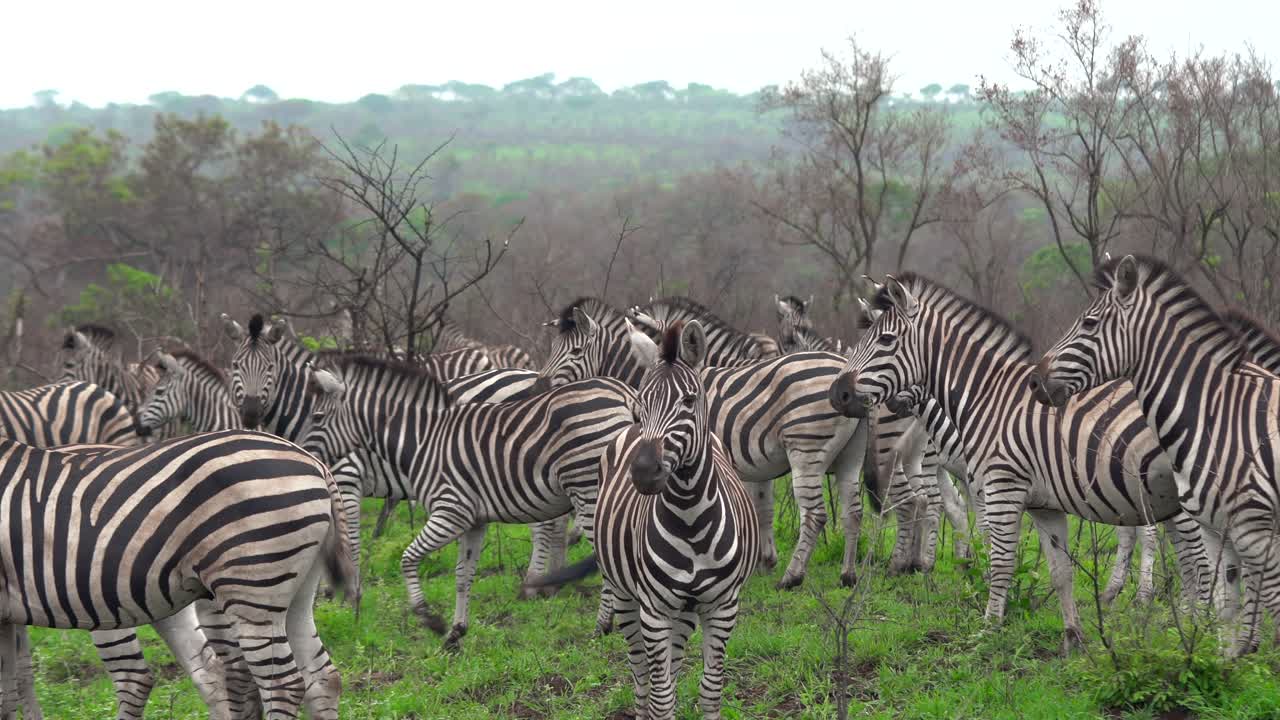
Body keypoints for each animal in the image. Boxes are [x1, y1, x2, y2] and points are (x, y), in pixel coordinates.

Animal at [301, 358, 636, 651]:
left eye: (316, 417)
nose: (306, 457)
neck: (423, 440)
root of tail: (626, 394)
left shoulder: (451, 511)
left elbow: (407, 558)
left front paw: (429, 619)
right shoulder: (474, 521)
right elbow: (463, 575)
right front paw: (455, 632)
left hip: (589, 492)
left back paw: (601, 627)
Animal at [532, 320, 757, 720]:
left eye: (689, 401)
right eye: (642, 405)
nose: (644, 472)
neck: (691, 520)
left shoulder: (723, 606)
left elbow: (709, 691)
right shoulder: (653, 610)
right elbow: (660, 695)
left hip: (684, 611)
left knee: (672, 665)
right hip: (623, 593)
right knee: (640, 673)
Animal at [538, 297, 866, 589]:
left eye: (576, 350)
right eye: (552, 347)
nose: (540, 385)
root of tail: (843, 367)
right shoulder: (754, 467)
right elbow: (762, 509)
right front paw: (764, 560)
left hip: (805, 449)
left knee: (815, 515)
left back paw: (792, 577)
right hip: (850, 455)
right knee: (853, 511)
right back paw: (848, 575)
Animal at [828, 272, 1217, 652]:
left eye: (886, 340)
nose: (837, 394)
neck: (987, 397)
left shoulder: (1000, 487)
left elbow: (1000, 557)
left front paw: (987, 630)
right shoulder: (1038, 503)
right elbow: (1059, 570)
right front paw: (1072, 639)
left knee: (1197, 559)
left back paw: (1196, 631)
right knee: (1185, 556)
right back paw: (1183, 624)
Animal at [1032, 254, 1280, 655]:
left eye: (1089, 323)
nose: (1034, 381)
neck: (1216, 414)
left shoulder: (1255, 528)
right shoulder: (1219, 528)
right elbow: (1226, 605)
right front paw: (1233, 658)